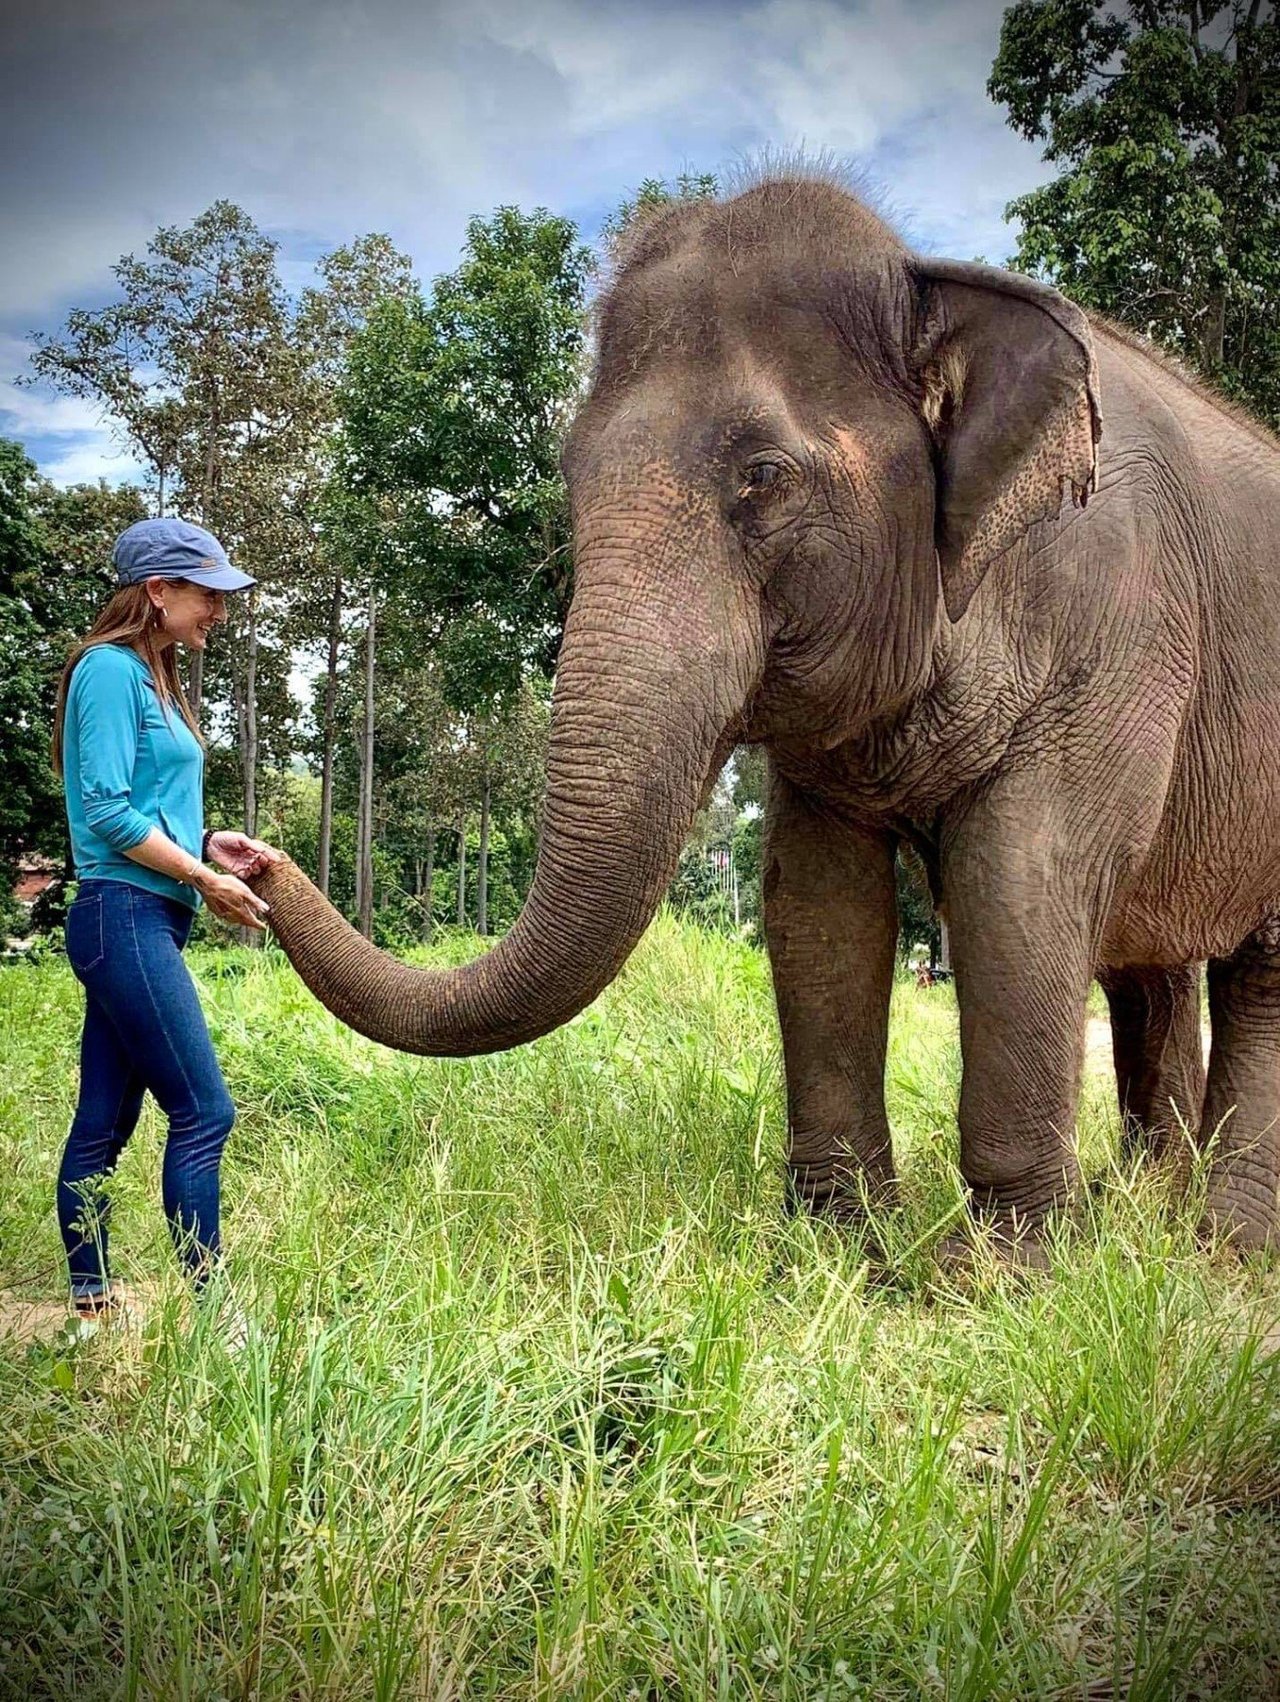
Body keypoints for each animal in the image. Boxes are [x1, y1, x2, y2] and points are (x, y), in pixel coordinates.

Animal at [250, 176, 1280, 1266]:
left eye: (762, 476)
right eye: (569, 477)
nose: (250, 854)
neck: (930, 281)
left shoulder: (1120, 627)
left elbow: (1020, 880)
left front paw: (1000, 1277)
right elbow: (816, 901)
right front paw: (841, 1252)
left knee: (1256, 976)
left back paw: (1221, 1248)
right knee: (1149, 973)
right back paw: (1148, 1206)